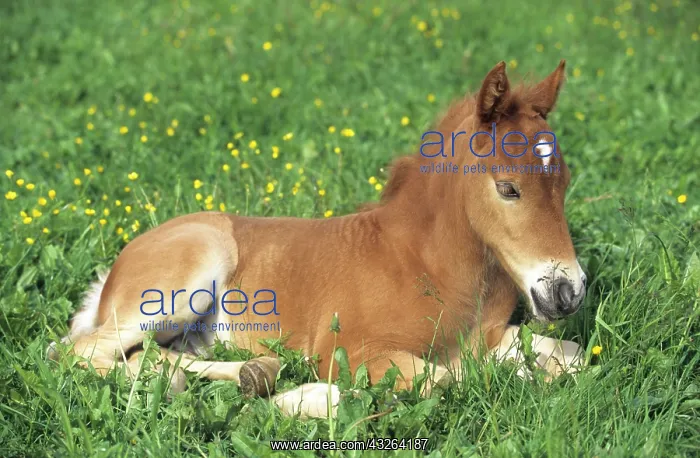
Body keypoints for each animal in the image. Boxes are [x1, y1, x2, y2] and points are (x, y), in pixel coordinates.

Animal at [48, 60, 587, 418]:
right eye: (508, 188)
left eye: (564, 182)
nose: (567, 292)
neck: (431, 264)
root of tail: (115, 270)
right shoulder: (352, 349)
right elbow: (441, 380)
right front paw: (310, 399)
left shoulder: (489, 336)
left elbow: (567, 356)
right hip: (180, 284)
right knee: (76, 352)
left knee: (153, 355)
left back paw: (255, 372)